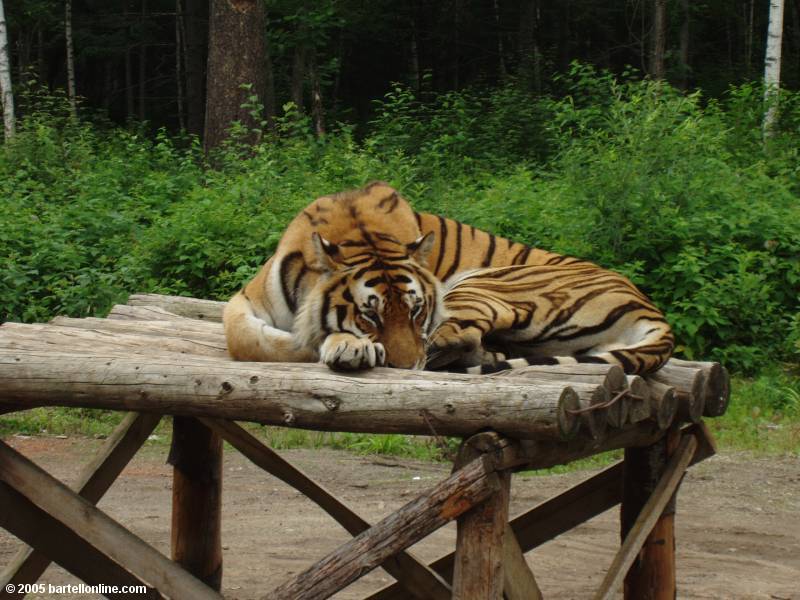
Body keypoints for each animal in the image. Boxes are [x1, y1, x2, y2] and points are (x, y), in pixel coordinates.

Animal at [225, 179, 676, 376]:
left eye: (416, 311)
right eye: (369, 315)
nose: (404, 368)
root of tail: (655, 314)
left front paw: (340, 345)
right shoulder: (244, 301)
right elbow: (248, 338)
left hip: (482, 284)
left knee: (457, 338)